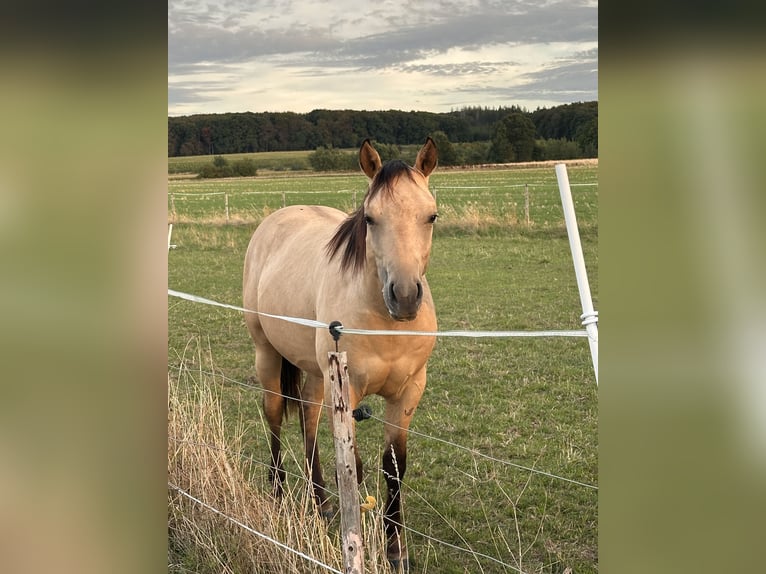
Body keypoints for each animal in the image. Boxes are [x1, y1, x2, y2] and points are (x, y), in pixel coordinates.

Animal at [243, 138, 439, 570]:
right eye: (370, 218)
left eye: (431, 216)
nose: (404, 296)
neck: (384, 323)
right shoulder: (347, 393)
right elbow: (354, 468)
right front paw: (358, 542)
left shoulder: (409, 391)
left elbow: (393, 467)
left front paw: (395, 550)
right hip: (267, 354)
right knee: (275, 416)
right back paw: (278, 494)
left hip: (318, 375)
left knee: (309, 421)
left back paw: (321, 503)